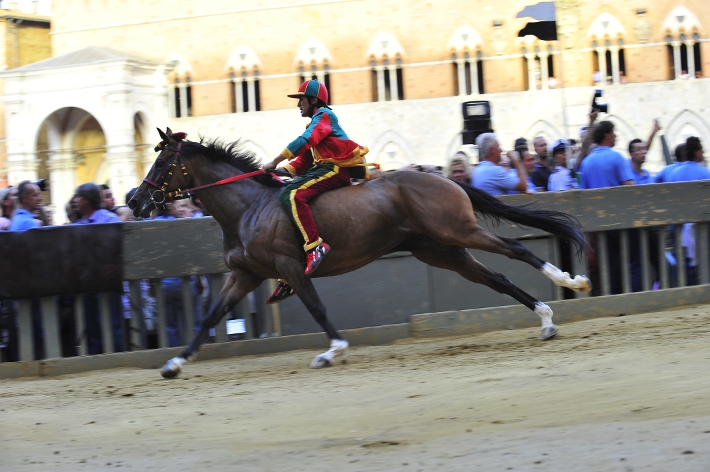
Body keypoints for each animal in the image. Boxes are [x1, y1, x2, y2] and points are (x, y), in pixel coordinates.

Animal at [126, 127, 588, 378]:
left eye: (162, 164)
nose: (134, 200)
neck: (248, 208)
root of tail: (443, 176)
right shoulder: (245, 274)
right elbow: (208, 318)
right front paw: (174, 364)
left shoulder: (291, 266)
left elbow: (316, 308)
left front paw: (333, 350)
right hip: (441, 250)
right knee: (498, 278)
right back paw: (546, 319)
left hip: (456, 229)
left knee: (515, 249)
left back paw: (571, 281)